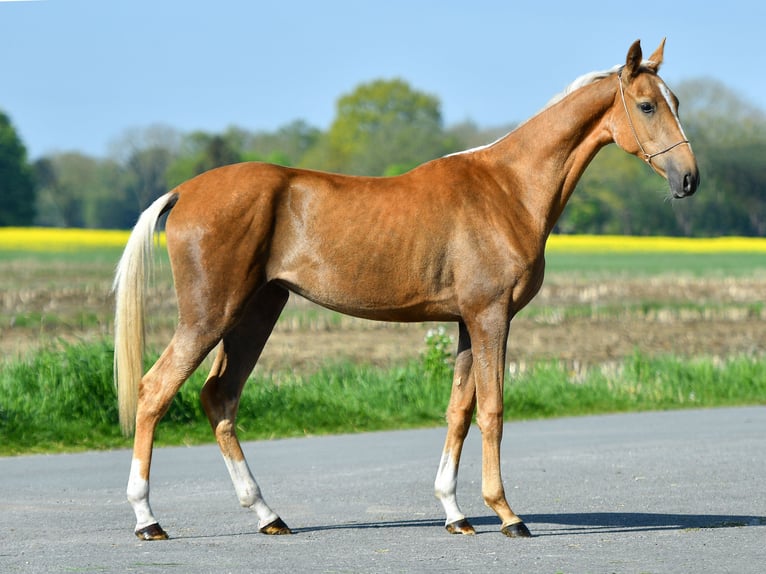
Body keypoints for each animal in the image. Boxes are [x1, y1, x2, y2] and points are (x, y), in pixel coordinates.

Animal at [115, 38, 704, 544]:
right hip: (209, 316)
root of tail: (185, 190)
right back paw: (147, 519)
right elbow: (492, 410)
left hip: (257, 313)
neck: (508, 188)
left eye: (674, 101)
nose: (689, 179)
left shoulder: (466, 322)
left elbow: (458, 412)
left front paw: (455, 512)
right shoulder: (491, 317)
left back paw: (267, 515)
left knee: (219, 397)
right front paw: (507, 514)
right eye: (647, 106)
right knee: (154, 390)